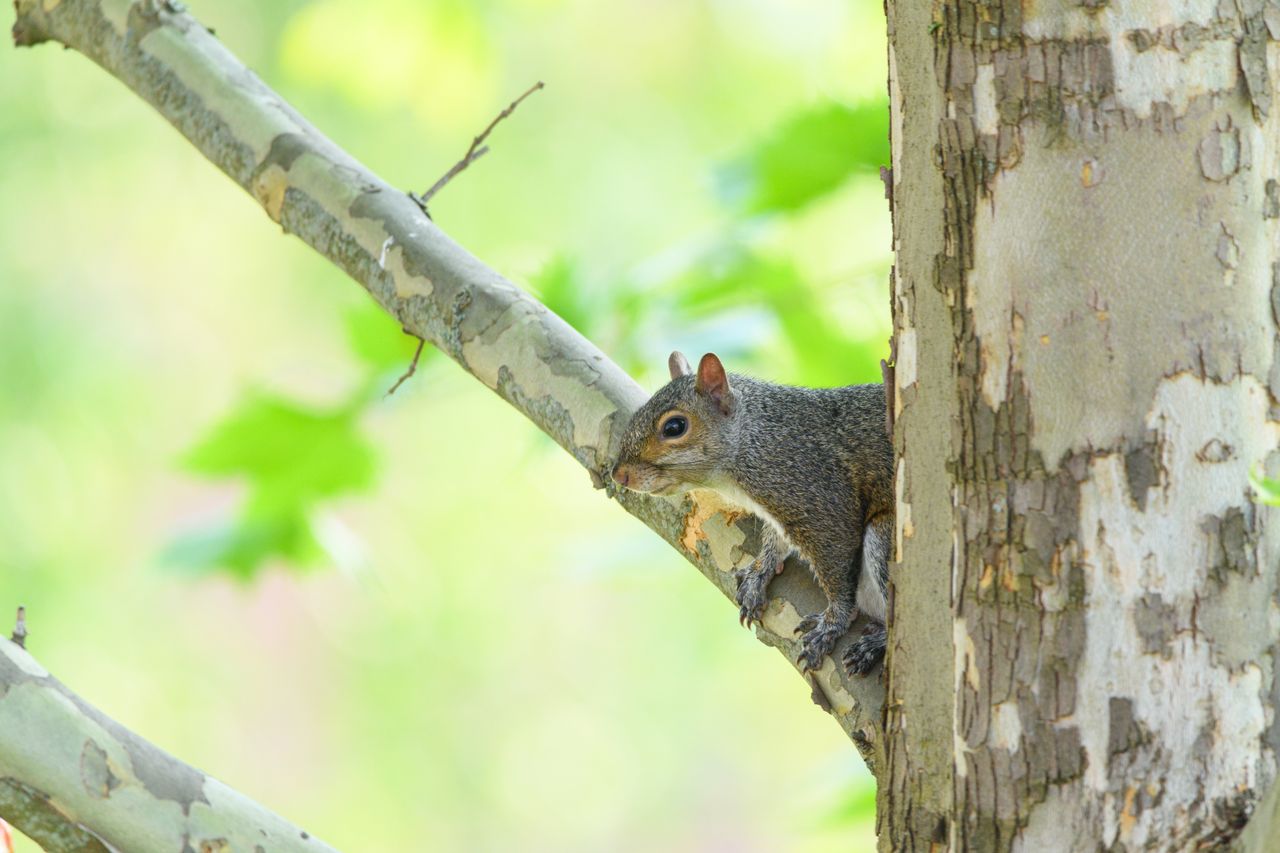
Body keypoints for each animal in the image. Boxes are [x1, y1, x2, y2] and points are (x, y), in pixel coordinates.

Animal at [611, 351, 894, 677]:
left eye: (674, 427)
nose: (619, 475)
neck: (753, 436)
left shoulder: (819, 498)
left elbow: (836, 565)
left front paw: (832, 623)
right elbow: (775, 541)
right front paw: (760, 572)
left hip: (885, 539)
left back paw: (877, 643)